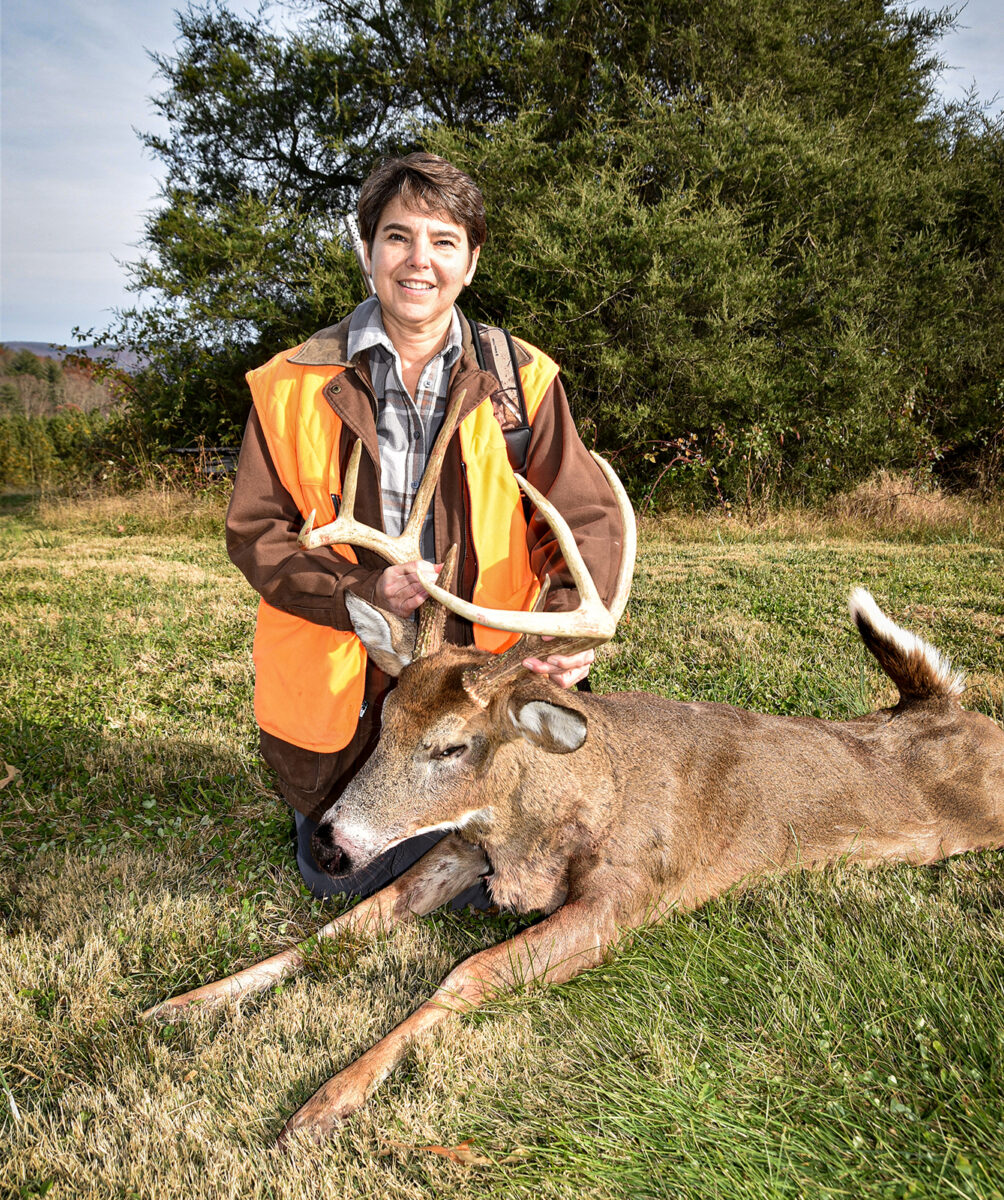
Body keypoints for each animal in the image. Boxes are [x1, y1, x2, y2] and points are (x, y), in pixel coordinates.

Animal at [140, 391, 1004, 1148]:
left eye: (451, 746)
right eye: (381, 721)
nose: (330, 843)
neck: (550, 814)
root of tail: (941, 707)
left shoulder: (626, 896)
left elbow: (469, 975)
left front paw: (325, 1103)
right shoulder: (459, 848)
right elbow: (333, 932)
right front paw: (177, 1006)